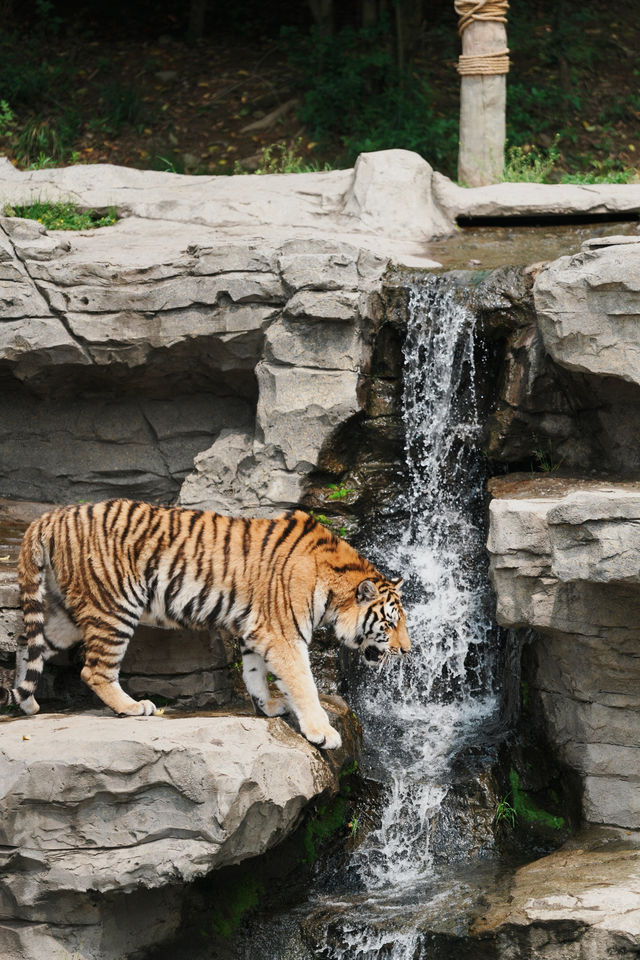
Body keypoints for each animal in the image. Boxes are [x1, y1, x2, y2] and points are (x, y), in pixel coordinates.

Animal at [3, 498, 410, 752]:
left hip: (68, 614)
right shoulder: (284, 635)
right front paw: (322, 733)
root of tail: (50, 516)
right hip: (113, 607)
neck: (333, 585)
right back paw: (134, 707)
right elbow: (304, 684)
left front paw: (268, 706)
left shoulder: (257, 631)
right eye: (389, 624)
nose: (407, 650)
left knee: (27, 642)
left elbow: (254, 673)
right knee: (94, 670)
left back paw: (26, 702)